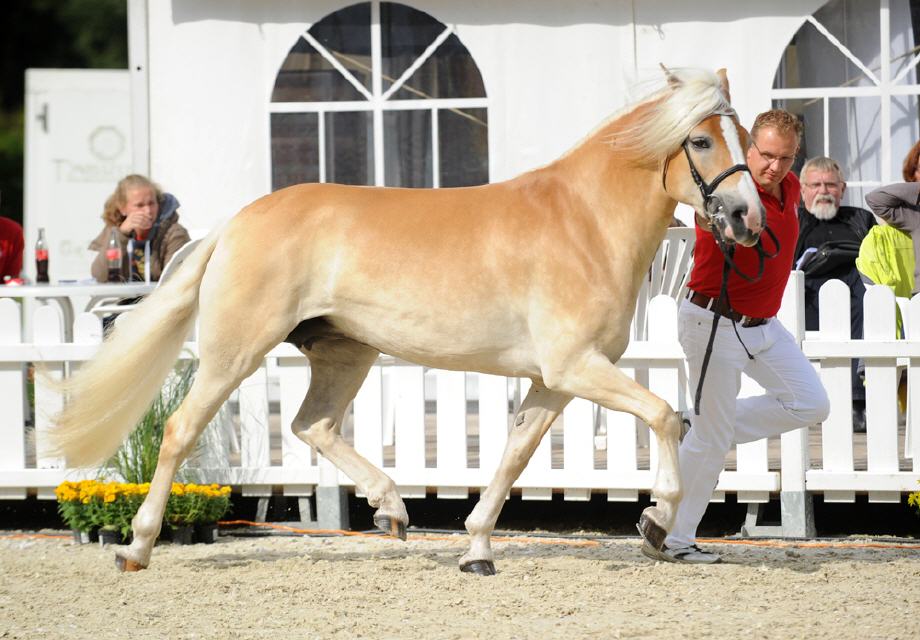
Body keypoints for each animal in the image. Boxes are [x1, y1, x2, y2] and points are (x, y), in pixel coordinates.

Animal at [54, 69, 764, 576]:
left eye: (750, 142)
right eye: (701, 140)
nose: (746, 218)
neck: (582, 221)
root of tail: (237, 222)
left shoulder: (554, 381)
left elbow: (514, 454)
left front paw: (476, 550)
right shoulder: (576, 368)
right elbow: (665, 416)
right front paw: (655, 521)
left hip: (346, 352)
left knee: (313, 425)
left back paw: (392, 510)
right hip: (238, 351)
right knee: (181, 430)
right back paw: (136, 547)